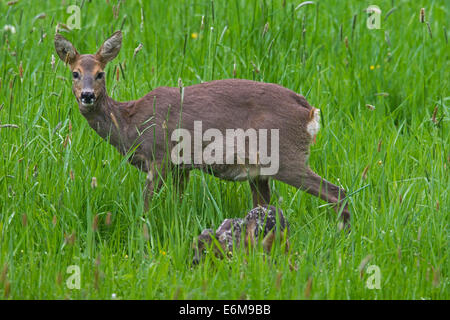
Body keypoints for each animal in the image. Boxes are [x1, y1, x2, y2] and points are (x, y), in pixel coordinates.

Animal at [53, 30, 352, 228]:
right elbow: (176, 203)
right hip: (261, 171)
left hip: (285, 156)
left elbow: (146, 205)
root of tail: (309, 111)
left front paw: (142, 232)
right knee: (267, 207)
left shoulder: (160, 157)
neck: (130, 124)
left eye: (100, 73)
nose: (87, 96)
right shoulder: (181, 167)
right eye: (75, 73)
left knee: (338, 193)